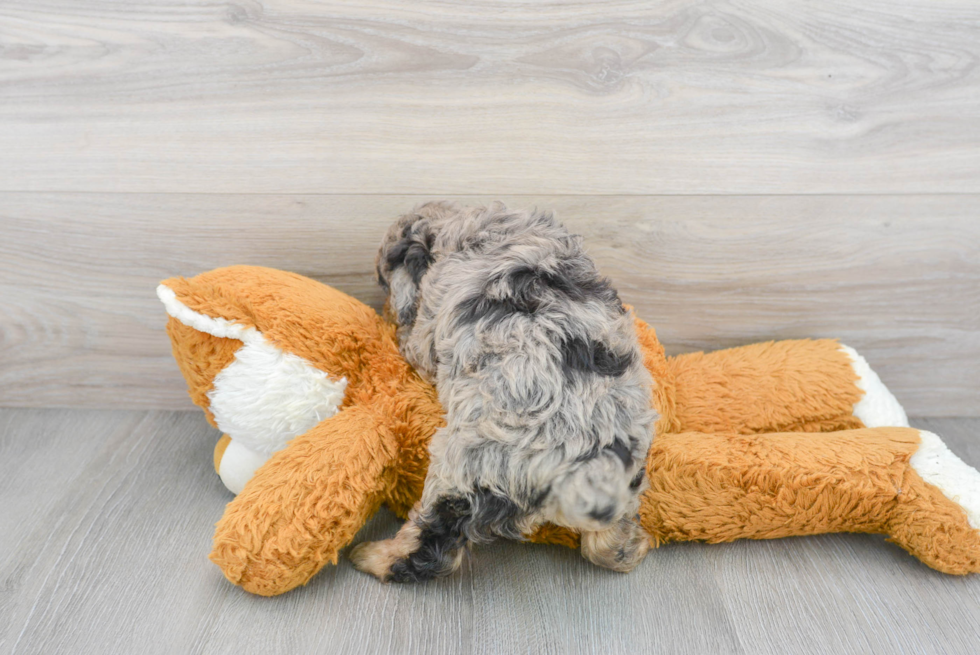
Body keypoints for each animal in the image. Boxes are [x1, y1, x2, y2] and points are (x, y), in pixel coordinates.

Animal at [348, 202, 656, 580]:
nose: (383, 304)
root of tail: (574, 464)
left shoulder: (428, 327)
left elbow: (415, 342)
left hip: (459, 473)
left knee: (432, 547)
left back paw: (372, 556)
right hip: (628, 469)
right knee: (607, 545)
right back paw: (634, 547)